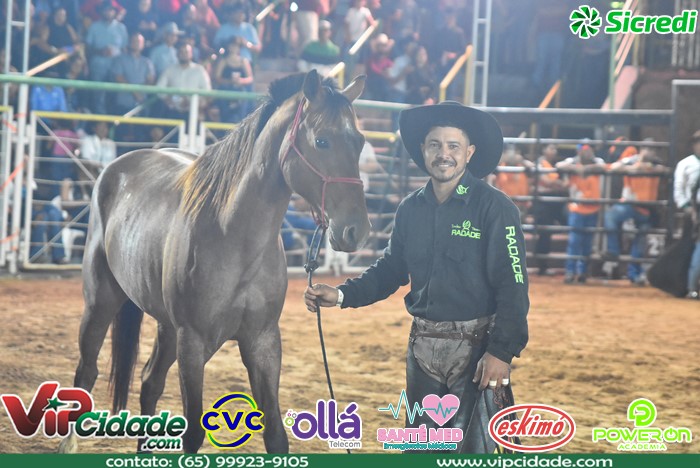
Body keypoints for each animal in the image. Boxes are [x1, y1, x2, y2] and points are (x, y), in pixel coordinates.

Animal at [58, 70, 370, 453]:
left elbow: (275, 434)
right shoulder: (192, 343)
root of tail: (116, 168)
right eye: (322, 141)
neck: (234, 237)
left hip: (167, 327)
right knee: (87, 371)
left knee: (149, 382)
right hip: (101, 302)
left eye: (359, 142)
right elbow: (192, 432)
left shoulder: (263, 342)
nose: (357, 230)